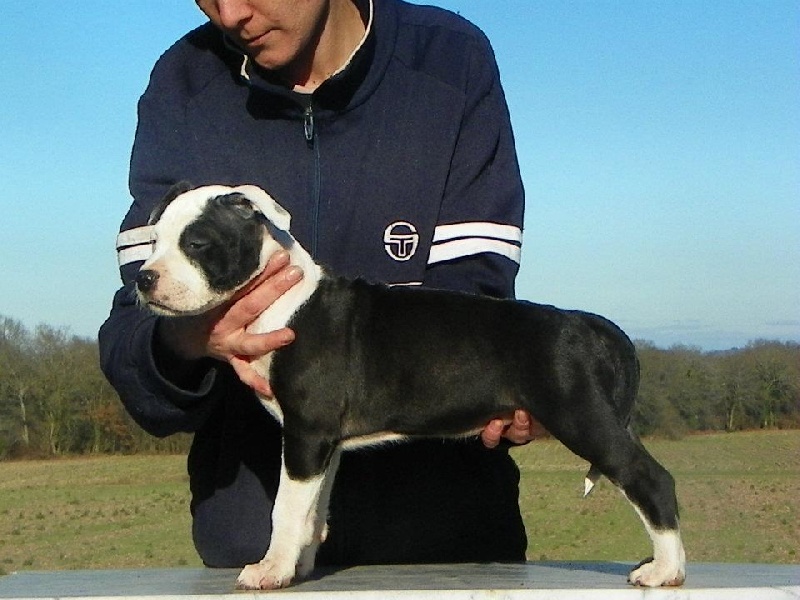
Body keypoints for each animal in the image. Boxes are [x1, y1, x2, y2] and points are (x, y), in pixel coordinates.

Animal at [135, 183, 686, 590]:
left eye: (196, 244)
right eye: (154, 241)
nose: (143, 279)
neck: (285, 301)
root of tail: (583, 323)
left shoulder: (307, 432)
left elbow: (286, 508)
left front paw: (271, 570)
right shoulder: (325, 443)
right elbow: (314, 509)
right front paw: (303, 564)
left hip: (579, 413)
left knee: (651, 478)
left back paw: (665, 570)